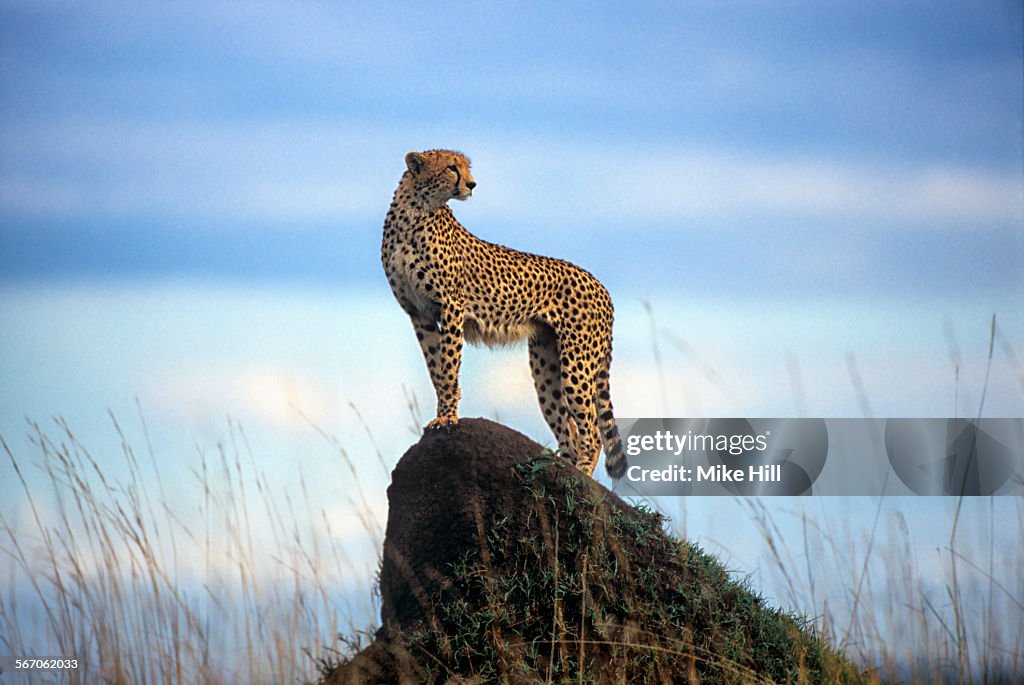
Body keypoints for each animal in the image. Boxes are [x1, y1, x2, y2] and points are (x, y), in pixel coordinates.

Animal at [381, 149, 626, 478]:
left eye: (466, 167)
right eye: (452, 167)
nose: (472, 184)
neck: (415, 211)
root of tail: (601, 285)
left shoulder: (451, 307)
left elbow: (448, 368)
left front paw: (447, 418)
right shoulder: (419, 314)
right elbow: (436, 368)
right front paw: (443, 413)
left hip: (577, 361)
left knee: (592, 430)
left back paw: (584, 478)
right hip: (545, 363)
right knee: (569, 430)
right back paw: (564, 472)